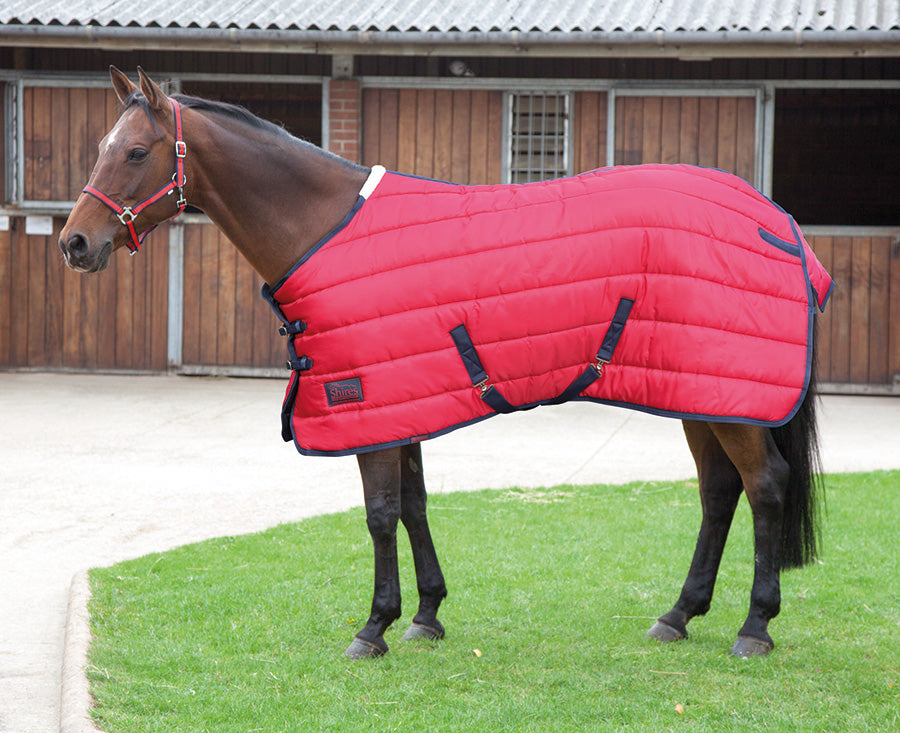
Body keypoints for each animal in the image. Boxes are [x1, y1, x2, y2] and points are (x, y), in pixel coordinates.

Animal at [60, 67, 825, 660]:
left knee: (764, 485)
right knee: (719, 492)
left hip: (732, 399)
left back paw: (754, 626)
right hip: (702, 392)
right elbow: (415, 505)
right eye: (100, 148)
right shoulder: (406, 401)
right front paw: (427, 615)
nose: (74, 243)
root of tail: (778, 222)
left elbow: (379, 513)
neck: (322, 228)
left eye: (134, 152)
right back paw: (678, 614)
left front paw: (374, 626)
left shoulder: (368, 403)